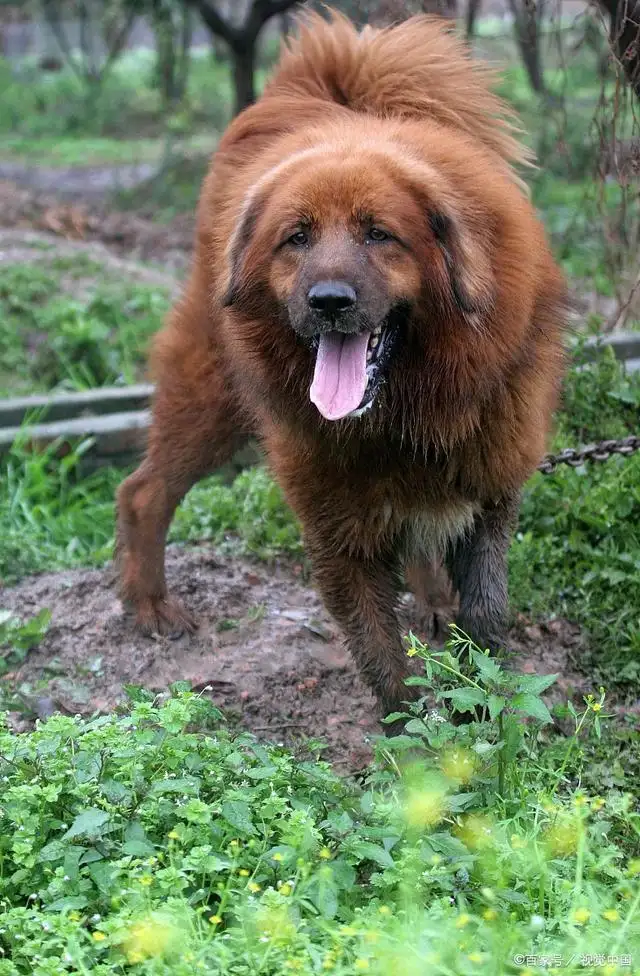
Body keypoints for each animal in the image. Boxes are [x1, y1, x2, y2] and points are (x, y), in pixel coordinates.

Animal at [115, 11, 564, 720]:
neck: (404, 407)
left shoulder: (489, 485)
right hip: (214, 393)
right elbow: (383, 658)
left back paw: (434, 604)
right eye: (296, 237)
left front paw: (482, 709)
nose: (328, 302)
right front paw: (419, 739)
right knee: (144, 490)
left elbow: (486, 617)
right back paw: (152, 604)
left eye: (380, 233)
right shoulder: (336, 527)